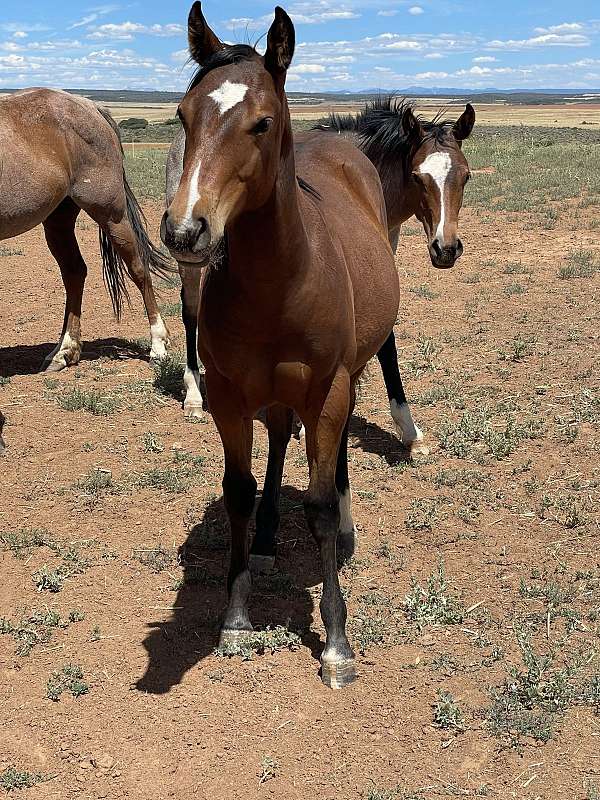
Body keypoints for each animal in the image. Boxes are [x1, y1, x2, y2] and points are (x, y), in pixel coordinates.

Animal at [0, 88, 172, 450]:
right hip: (58, 218)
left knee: (138, 268)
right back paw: (64, 351)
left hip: (109, 212)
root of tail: (90, 106)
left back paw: (158, 345)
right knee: (75, 272)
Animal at [161, 2, 400, 688]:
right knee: (275, 443)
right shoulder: (229, 396)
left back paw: (344, 530)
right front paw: (237, 613)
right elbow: (239, 491)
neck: (283, 281)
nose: (185, 232)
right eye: (183, 115)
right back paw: (267, 542)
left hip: (345, 381)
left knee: (333, 459)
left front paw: (337, 643)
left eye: (262, 122)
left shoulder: (328, 390)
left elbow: (317, 506)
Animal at [167, 98, 474, 456]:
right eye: (417, 177)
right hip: (190, 258)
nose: (446, 248)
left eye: (465, 176)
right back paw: (193, 395)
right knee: (190, 312)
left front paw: (409, 430)